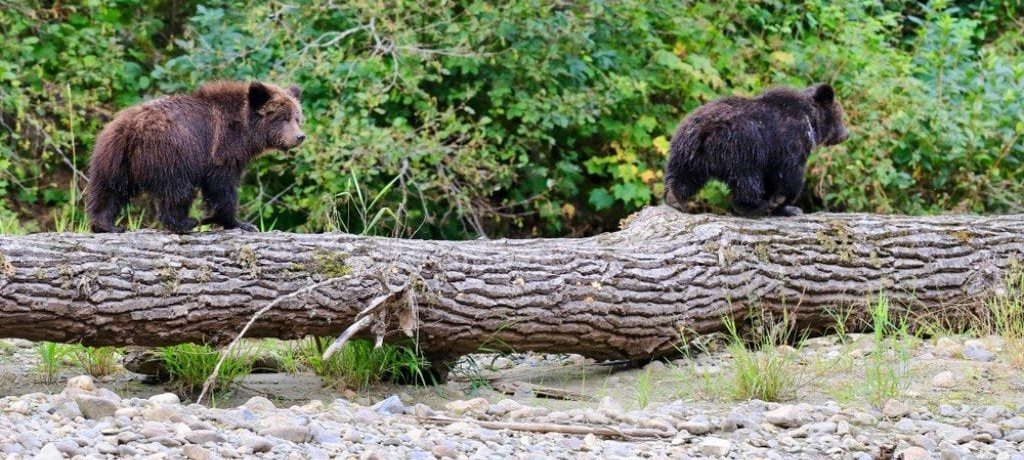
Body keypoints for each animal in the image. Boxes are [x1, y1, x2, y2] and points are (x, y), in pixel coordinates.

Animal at [85, 79, 301, 233]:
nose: (299, 136)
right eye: (282, 117)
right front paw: (239, 222)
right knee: (177, 190)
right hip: (173, 152)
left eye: (297, 117)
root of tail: (131, 129)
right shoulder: (222, 149)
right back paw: (185, 222)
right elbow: (222, 186)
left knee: (109, 188)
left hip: (113, 156)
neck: (245, 130)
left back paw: (106, 225)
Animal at [663, 84, 847, 217]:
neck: (810, 121)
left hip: (686, 150)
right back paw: (755, 206)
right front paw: (785, 204)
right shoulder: (788, 141)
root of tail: (705, 131)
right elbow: (788, 174)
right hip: (741, 148)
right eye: (841, 116)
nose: (846, 134)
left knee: (683, 175)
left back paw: (674, 197)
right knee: (746, 180)